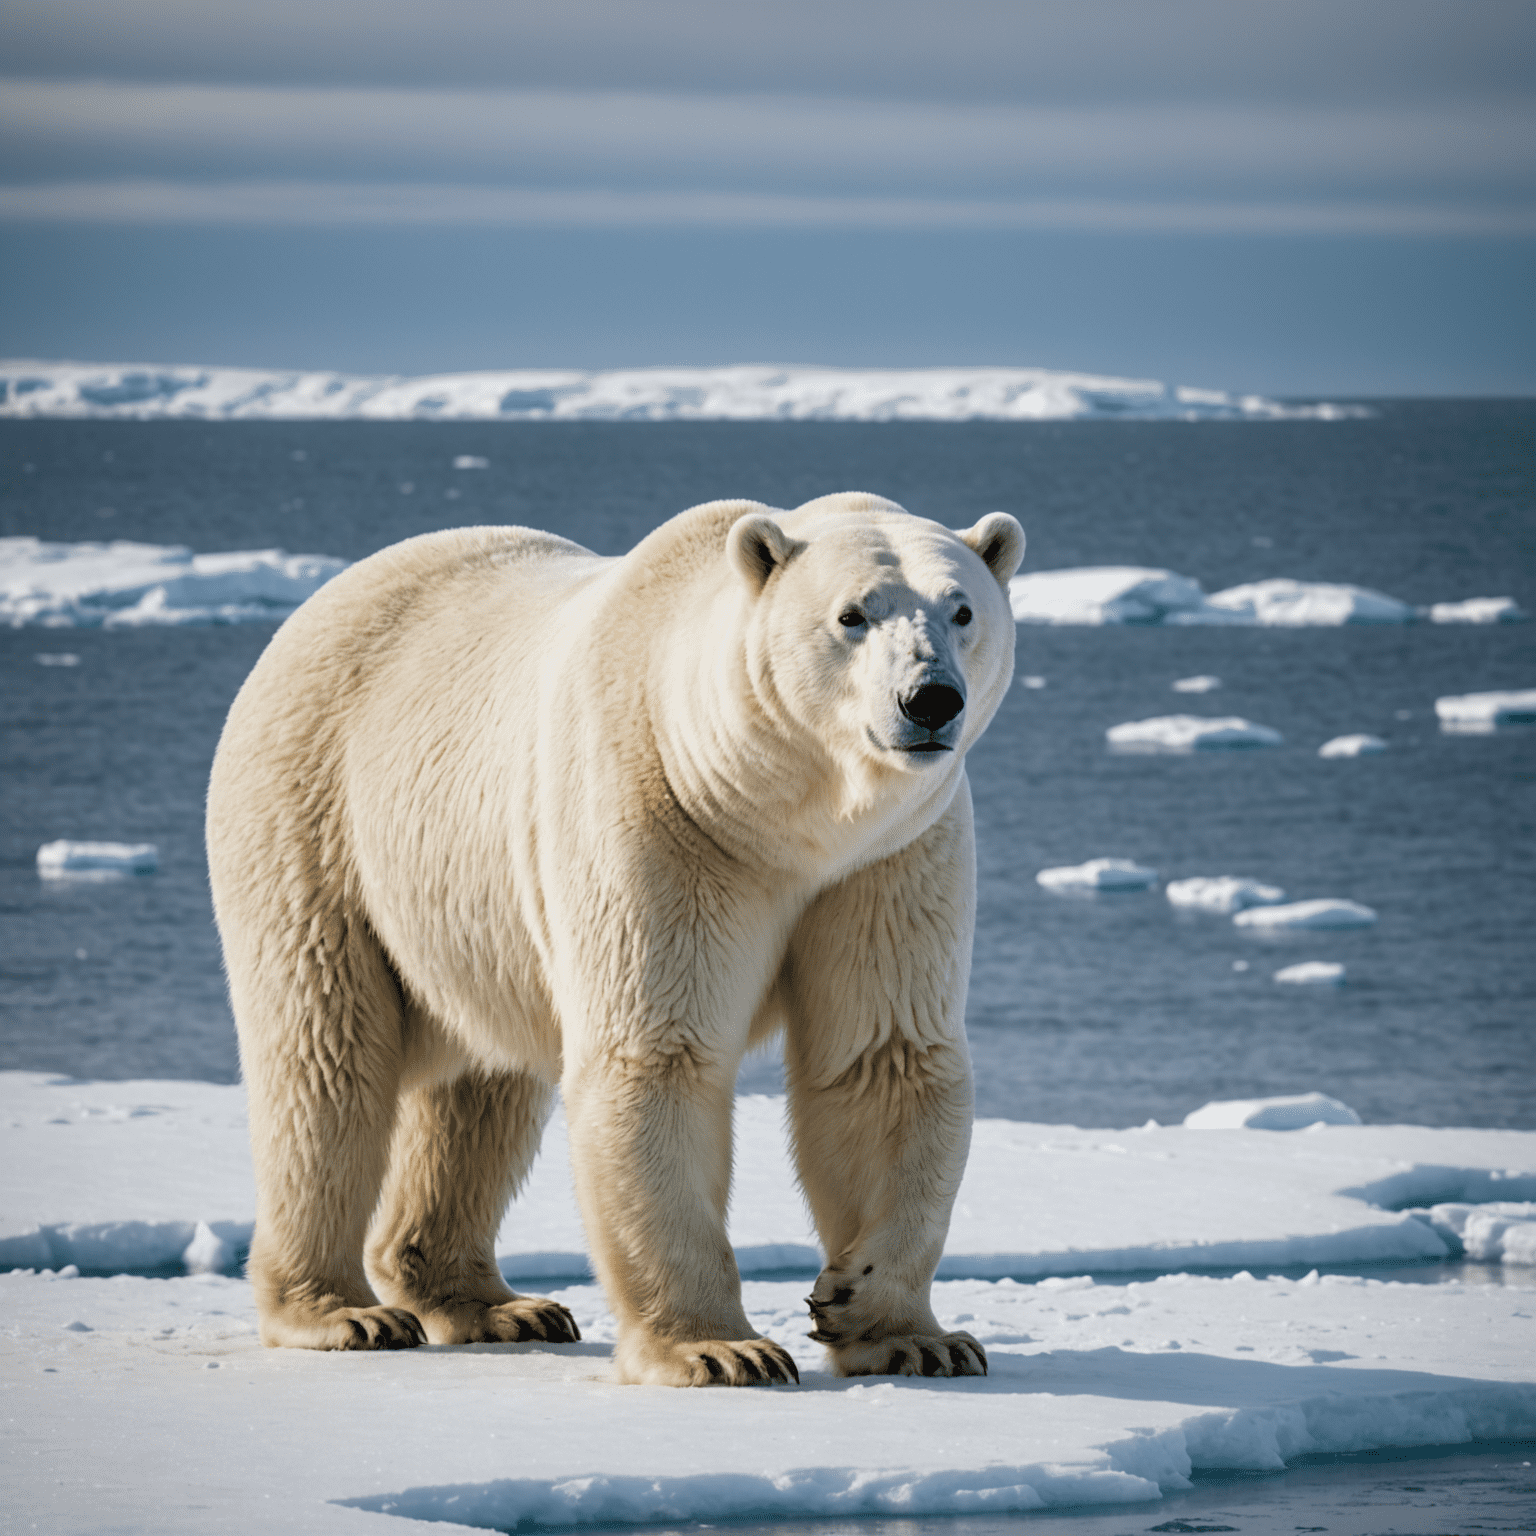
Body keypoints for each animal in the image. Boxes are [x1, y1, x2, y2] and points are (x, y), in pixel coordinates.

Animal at [204, 485, 1019, 1388]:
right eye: (852, 615)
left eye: (962, 609)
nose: (930, 700)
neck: (774, 813)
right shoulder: (655, 814)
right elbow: (656, 1054)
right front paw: (721, 1348)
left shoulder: (888, 857)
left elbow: (883, 1056)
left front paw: (904, 1329)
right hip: (315, 820)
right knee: (325, 1060)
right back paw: (342, 1310)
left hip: (473, 908)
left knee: (482, 1087)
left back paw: (498, 1305)